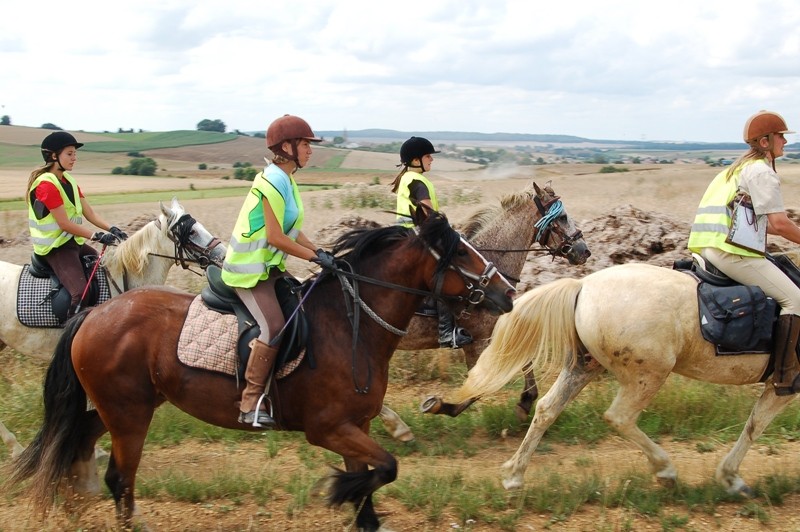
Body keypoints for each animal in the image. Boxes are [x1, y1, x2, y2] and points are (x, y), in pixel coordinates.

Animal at [434, 264, 796, 496]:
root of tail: (583, 286)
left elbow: (754, 423)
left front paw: (731, 477)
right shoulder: (784, 388)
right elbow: (756, 425)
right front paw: (731, 478)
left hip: (583, 367)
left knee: (547, 409)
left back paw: (514, 475)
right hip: (648, 374)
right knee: (619, 417)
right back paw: (665, 470)